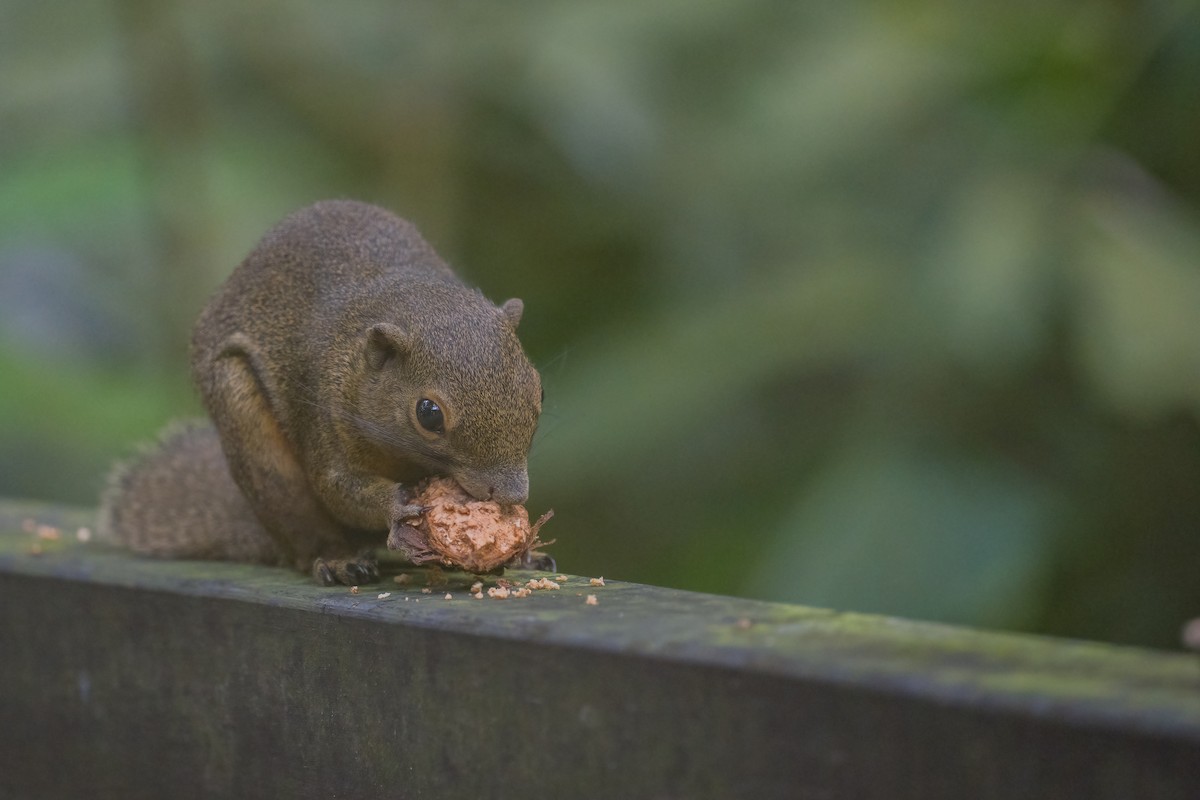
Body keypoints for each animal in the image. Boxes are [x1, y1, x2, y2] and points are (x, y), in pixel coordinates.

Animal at [98, 200, 543, 585]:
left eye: (538, 394)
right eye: (428, 413)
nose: (512, 494)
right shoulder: (325, 411)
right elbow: (338, 487)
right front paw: (396, 508)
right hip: (251, 433)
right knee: (303, 529)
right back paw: (337, 558)